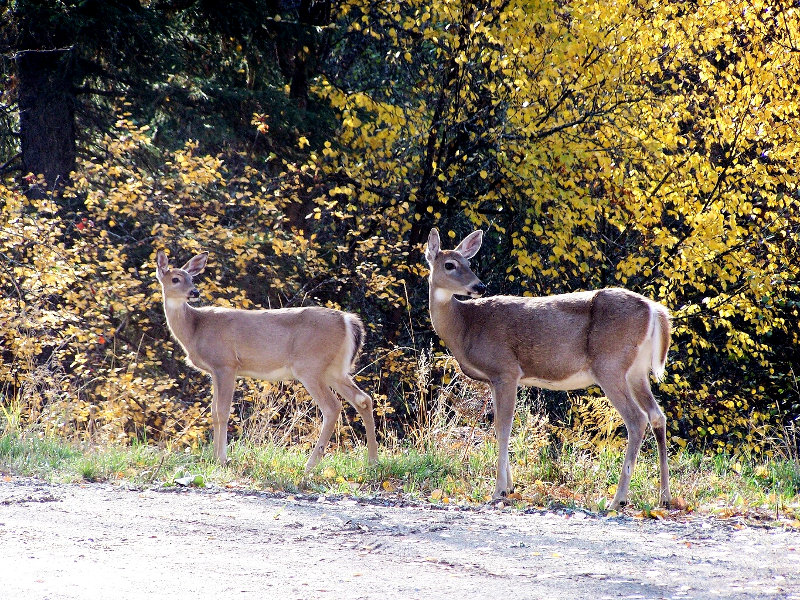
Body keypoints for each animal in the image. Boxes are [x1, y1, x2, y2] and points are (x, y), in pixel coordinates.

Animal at [157, 248, 382, 468]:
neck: (195, 328)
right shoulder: (214, 371)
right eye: (176, 279)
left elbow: (222, 411)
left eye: (190, 278)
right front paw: (213, 457)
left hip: (309, 366)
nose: (194, 292)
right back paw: (372, 461)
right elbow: (213, 412)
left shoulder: (226, 364)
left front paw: (221, 459)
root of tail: (348, 320)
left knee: (332, 407)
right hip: (334, 370)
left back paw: (310, 464)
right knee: (363, 399)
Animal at [422, 227, 672, 508]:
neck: (465, 326)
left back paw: (617, 500)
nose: (480, 286)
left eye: (467, 263)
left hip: (610, 364)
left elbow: (504, 427)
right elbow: (498, 427)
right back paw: (664, 497)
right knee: (657, 415)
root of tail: (654, 310)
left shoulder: (506, 370)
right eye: (451, 264)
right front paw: (510, 488)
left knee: (636, 419)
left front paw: (499, 491)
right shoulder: (495, 379)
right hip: (637, 371)